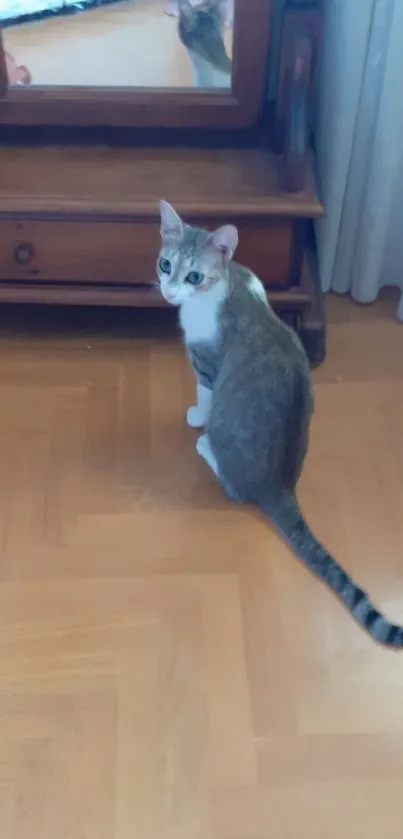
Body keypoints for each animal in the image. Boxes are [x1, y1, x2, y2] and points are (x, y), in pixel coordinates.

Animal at [156, 200, 403, 652]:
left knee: (234, 486)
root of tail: (279, 484)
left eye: (194, 276)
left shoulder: (208, 364)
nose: (168, 291)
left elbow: (205, 394)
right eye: (165, 264)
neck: (227, 283)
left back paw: (207, 448)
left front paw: (197, 417)